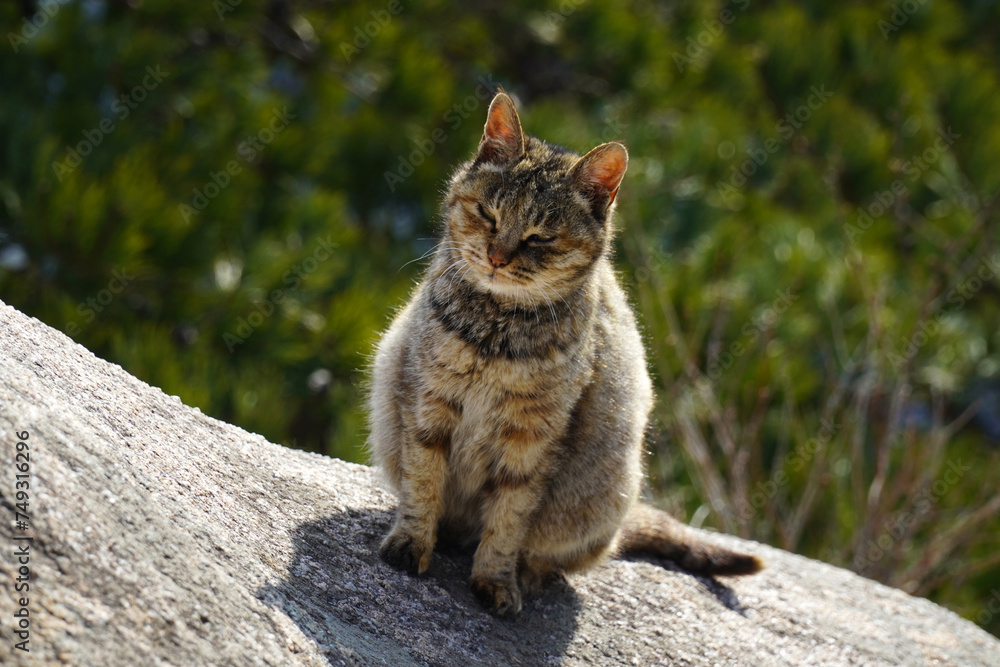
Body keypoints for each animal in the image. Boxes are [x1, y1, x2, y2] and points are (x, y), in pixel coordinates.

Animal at [372, 91, 760, 620]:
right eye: (488, 214)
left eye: (540, 237)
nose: (497, 258)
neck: (496, 331)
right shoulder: (428, 402)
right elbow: (423, 481)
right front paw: (413, 541)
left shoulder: (534, 437)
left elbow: (510, 518)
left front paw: (496, 579)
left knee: (548, 553)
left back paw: (526, 573)